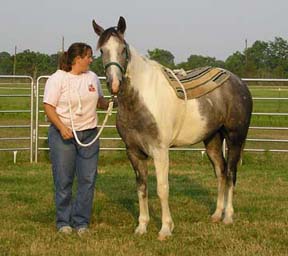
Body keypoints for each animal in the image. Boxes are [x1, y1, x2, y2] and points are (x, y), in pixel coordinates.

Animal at [92, 16, 252, 240]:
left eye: (123, 49)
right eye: (102, 50)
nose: (114, 84)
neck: (141, 100)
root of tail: (240, 83)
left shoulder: (160, 151)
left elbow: (162, 188)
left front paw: (166, 229)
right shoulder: (133, 152)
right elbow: (142, 188)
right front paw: (142, 226)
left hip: (235, 138)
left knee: (230, 173)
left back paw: (228, 216)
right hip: (212, 139)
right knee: (220, 172)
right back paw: (216, 214)